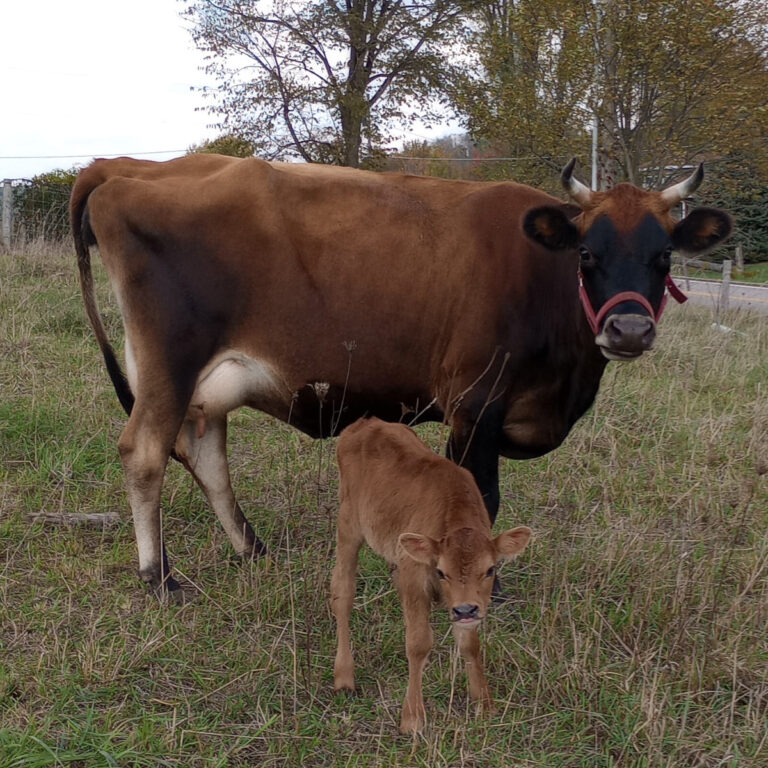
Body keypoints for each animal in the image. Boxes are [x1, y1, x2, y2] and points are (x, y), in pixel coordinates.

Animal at [69, 154, 731, 598]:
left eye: (664, 256)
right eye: (587, 253)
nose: (629, 330)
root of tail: (126, 166)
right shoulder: (476, 403)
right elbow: (481, 497)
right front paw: (480, 588)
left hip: (205, 384)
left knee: (205, 457)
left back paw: (253, 551)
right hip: (171, 361)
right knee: (144, 452)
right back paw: (158, 576)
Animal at [331, 416, 532, 733]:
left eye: (490, 569)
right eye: (441, 571)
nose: (466, 610)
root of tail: (367, 422)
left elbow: (470, 644)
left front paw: (484, 704)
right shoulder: (415, 578)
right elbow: (418, 642)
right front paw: (412, 718)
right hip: (349, 525)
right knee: (342, 592)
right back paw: (344, 677)